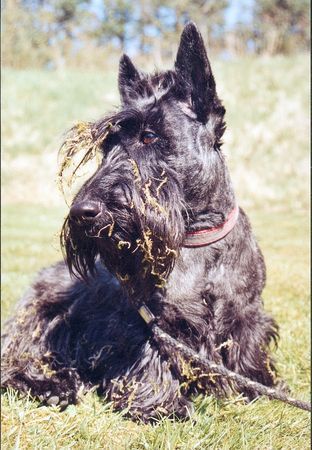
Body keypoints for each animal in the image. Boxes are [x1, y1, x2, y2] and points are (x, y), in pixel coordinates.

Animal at [1, 22, 280, 422]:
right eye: (107, 146)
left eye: (150, 136)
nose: (82, 212)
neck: (196, 240)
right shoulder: (146, 325)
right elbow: (150, 358)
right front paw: (161, 404)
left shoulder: (247, 317)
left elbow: (246, 352)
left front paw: (256, 383)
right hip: (39, 316)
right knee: (18, 359)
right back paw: (51, 387)